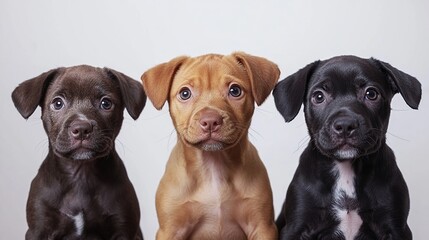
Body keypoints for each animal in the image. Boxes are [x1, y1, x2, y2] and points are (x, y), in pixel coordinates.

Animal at [12, 65, 145, 240]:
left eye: (106, 103)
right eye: (58, 103)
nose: (81, 128)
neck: (81, 172)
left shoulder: (124, 229)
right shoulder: (39, 229)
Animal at [142, 51, 280, 239]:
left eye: (235, 91)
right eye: (185, 93)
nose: (210, 121)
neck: (213, 165)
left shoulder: (262, 227)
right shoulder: (170, 230)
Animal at [272, 55, 420, 239]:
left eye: (371, 94)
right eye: (318, 96)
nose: (344, 125)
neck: (346, 168)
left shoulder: (397, 229)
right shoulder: (295, 228)